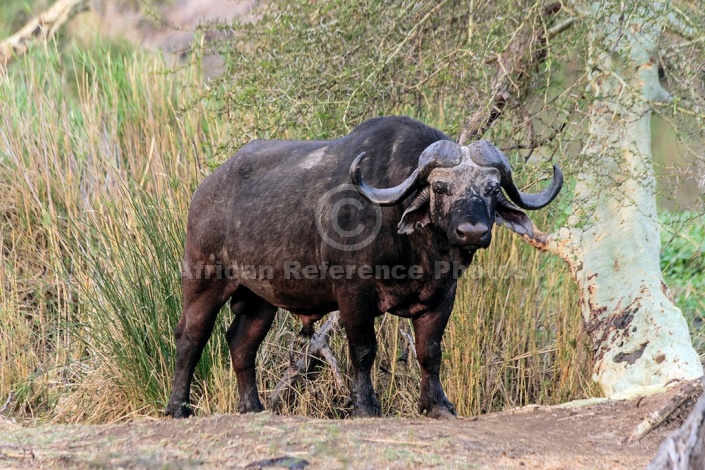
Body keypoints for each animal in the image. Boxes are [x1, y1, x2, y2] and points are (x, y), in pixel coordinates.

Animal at [166, 115, 560, 420]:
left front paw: (438, 405)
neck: (417, 250)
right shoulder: (354, 294)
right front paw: (365, 406)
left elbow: (430, 352)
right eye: (440, 187)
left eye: (492, 189)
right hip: (204, 280)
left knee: (241, 343)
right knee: (191, 337)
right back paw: (178, 408)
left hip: (260, 298)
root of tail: (205, 190)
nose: (472, 232)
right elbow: (364, 349)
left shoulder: (442, 297)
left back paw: (253, 407)